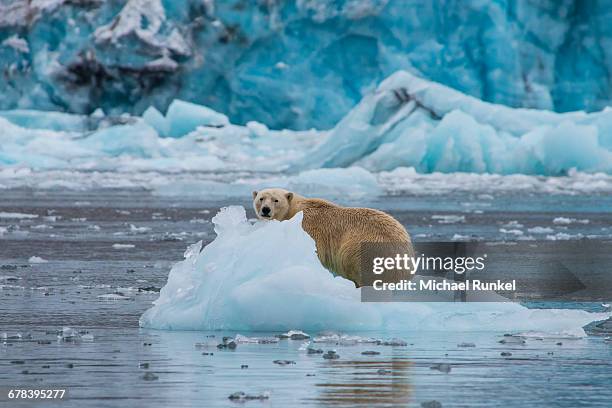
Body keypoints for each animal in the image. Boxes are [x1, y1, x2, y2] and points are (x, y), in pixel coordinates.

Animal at [251, 188, 414, 286]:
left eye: (275, 200)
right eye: (261, 198)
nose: (266, 210)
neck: (295, 210)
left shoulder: (309, 227)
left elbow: (315, 250)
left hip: (364, 246)